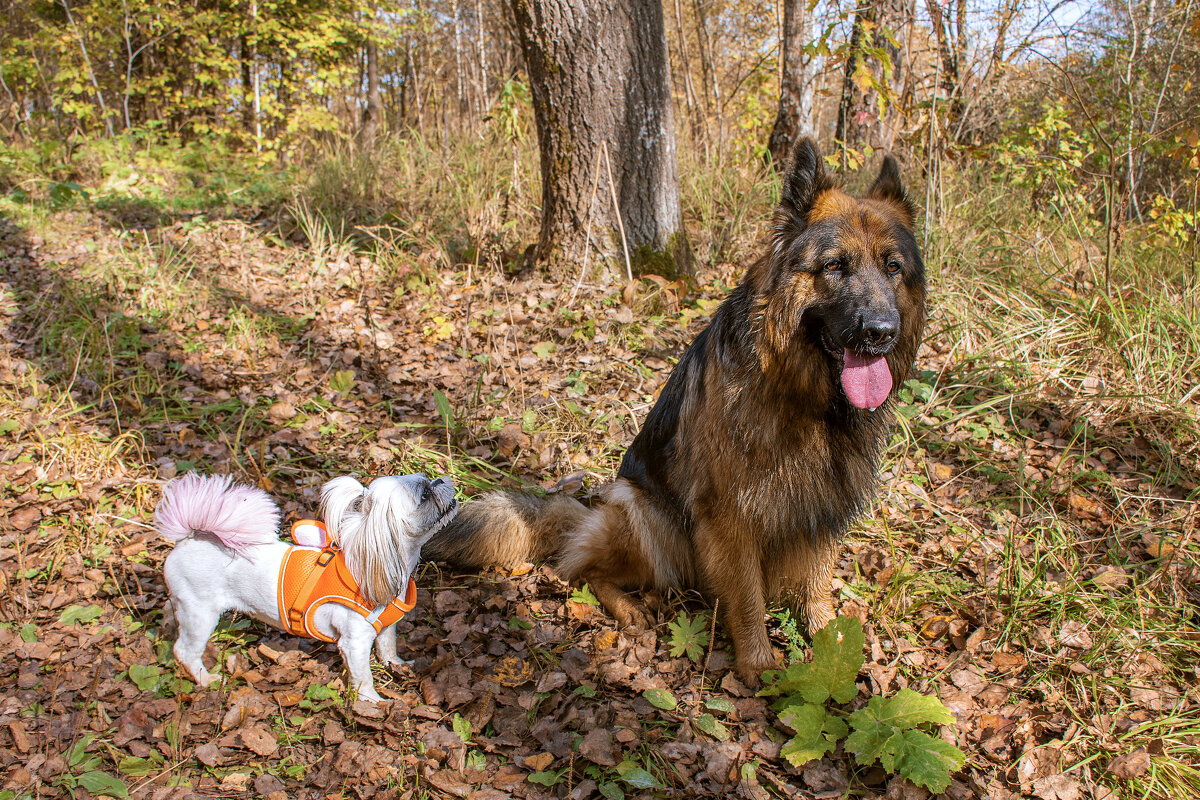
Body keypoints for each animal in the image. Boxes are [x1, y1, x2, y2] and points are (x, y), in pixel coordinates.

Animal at [157, 472, 456, 705]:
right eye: (425, 494)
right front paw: (372, 700)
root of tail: (190, 539)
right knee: (185, 651)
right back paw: (205, 678)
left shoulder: (384, 627)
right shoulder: (355, 642)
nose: (440, 480)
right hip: (201, 615)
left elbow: (387, 647)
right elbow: (363, 677)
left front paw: (397, 665)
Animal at [427, 136, 921, 681]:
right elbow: (747, 597)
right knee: (583, 570)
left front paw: (834, 644)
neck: (801, 395)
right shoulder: (729, 515)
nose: (881, 332)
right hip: (645, 515)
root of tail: (590, 506)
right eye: (834, 266)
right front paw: (759, 665)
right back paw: (629, 608)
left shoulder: (823, 502)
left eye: (893, 267)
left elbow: (816, 583)